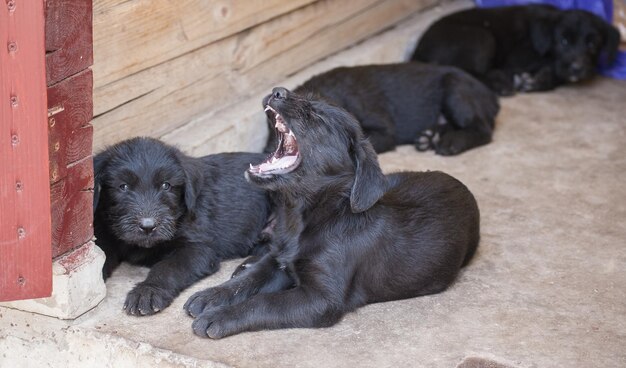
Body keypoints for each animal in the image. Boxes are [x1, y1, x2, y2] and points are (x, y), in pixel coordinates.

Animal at [94, 138, 270, 316]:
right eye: (123, 187)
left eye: (166, 185)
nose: (148, 226)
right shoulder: (106, 237)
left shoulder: (198, 248)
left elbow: (167, 266)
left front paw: (148, 290)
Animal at [182, 88, 478, 340]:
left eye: (318, 118)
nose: (278, 91)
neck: (307, 216)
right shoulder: (280, 261)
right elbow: (251, 279)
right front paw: (211, 296)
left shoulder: (321, 299)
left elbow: (264, 301)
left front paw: (218, 317)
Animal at [264, 63, 498, 155]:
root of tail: (490, 95)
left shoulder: (383, 131)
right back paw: (429, 137)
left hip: (455, 89)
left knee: (482, 129)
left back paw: (452, 142)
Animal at [410, 4, 620, 95]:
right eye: (563, 41)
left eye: (593, 44)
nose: (578, 68)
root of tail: (418, 50)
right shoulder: (516, 59)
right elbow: (553, 70)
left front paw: (537, 81)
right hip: (482, 36)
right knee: (464, 71)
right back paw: (500, 84)